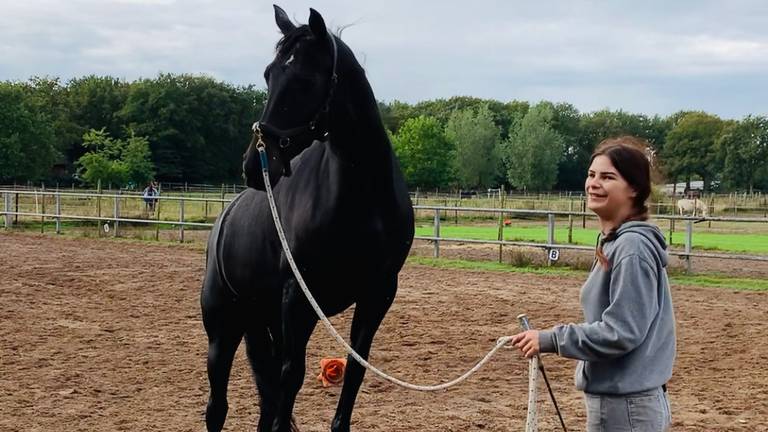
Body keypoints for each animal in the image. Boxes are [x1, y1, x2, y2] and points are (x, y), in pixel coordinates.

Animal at [200, 5, 414, 432]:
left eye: (304, 78)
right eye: (269, 73)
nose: (254, 163)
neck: (362, 198)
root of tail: (224, 219)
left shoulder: (378, 294)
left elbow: (354, 372)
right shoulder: (297, 299)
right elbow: (292, 376)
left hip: (262, 320)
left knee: (266, 400)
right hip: (223, 327)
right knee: (218, 407)